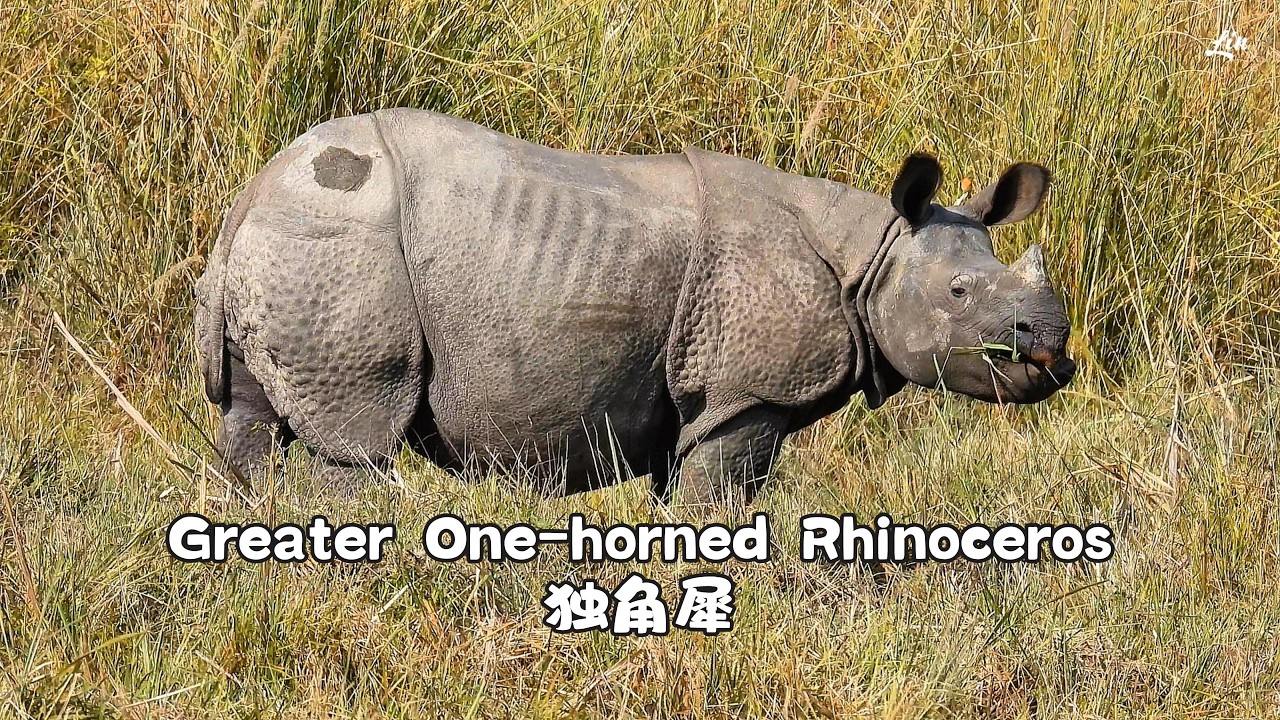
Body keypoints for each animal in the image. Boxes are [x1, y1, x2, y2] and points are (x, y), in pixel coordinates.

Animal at [194, 109, 1075, 505]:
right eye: (959, 295)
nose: (1053, 350)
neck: (875, 254)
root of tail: (251, 193)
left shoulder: (696, 395)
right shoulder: (745, 394)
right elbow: (721, 502)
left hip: (301, 245)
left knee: (251, 414)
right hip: (346, 249)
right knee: (357, 442)